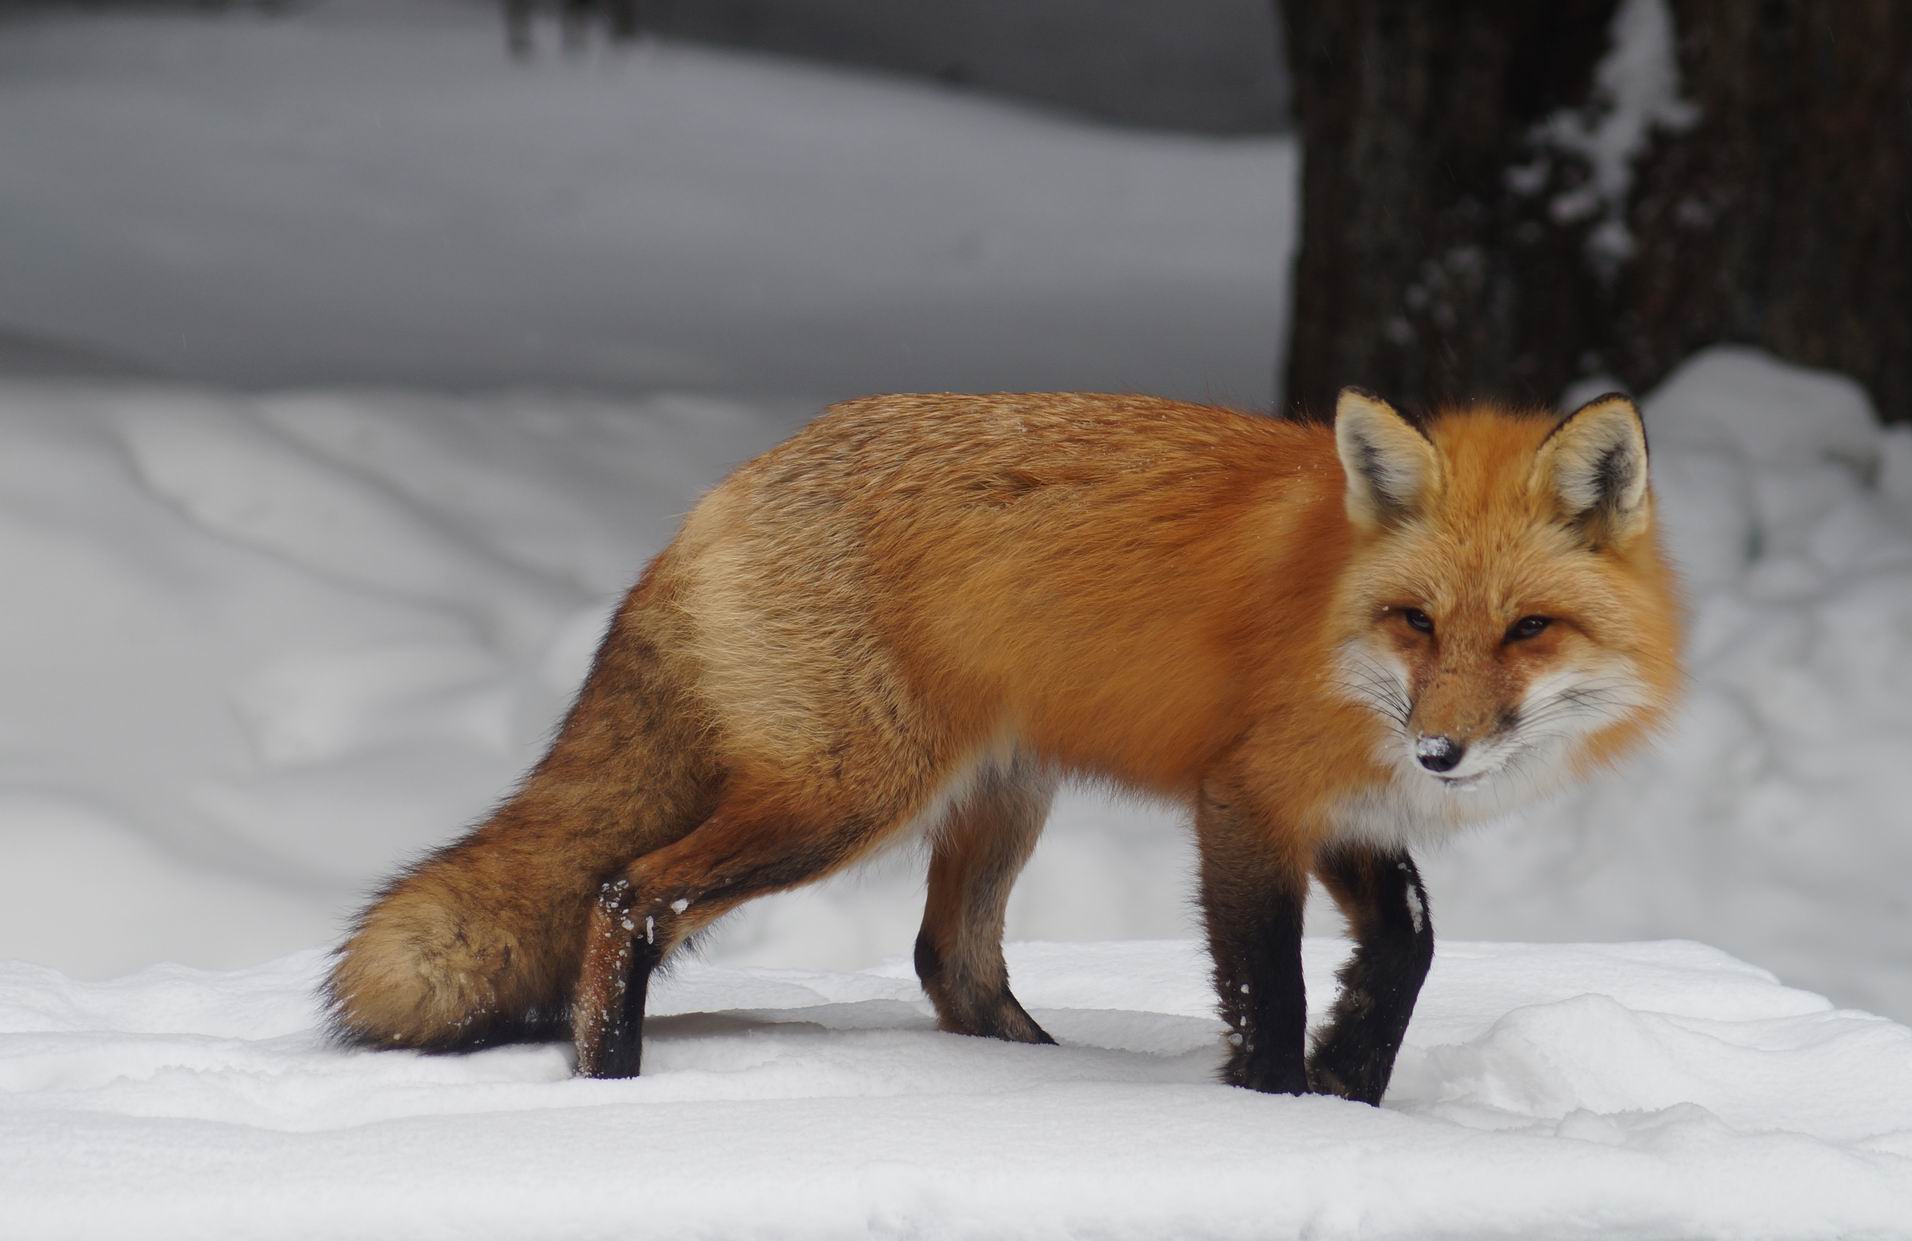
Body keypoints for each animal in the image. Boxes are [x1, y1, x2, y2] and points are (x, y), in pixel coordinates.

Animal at [336, 390, 1682, 1101]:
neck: (1333, 623)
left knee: (948, 960)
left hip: (998, 795)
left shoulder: (1340, 808)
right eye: (1417, 621)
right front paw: (1276, 1111)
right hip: (849, 796)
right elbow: (1270, 983)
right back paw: (607, 1084)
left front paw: (1351, 1074)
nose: (1442, 751)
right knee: (626, 894)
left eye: (1527, 629)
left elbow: (1407, 944)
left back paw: (1026, 1073)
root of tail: (720, 492)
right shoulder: (1244, 799)